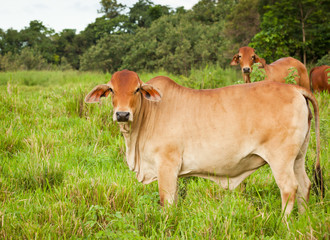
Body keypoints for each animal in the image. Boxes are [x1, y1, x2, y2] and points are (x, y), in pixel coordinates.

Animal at [84, 70, 322, 216]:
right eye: (112, 90)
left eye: (136, 89)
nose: (122, 114)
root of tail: (294, 89)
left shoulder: (167, 165)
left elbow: (166, 201)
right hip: (298, 156)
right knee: (305, 185)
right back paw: (302, 220)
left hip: (281, 158)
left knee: (289, 188)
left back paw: (283, 224)